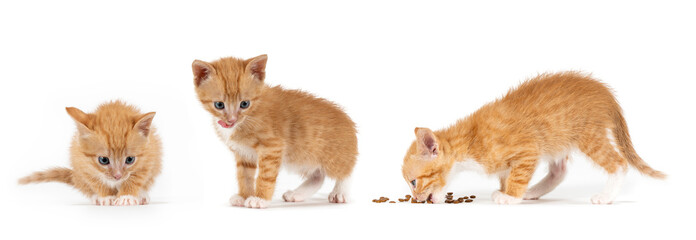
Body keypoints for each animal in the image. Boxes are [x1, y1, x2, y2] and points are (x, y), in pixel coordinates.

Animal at [18, 100, 162, 205]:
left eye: (130, 159)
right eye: (103, 160)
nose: (118, 176)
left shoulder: (149, 157)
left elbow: (136, 179)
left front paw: (126, 196)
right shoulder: (82, 164)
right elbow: (96, 182)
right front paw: (106, 197)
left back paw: (142, 195)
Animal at [192, 54, 358, 208]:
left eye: (244, 104)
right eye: (219, 105)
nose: (231, 120)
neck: (249, 116)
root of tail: (348, 119)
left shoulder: (272, 147)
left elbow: (265, 176)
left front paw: (260, 199)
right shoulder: (243, 153)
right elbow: (244, 176)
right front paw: (243, 196)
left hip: (331, 156)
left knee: (346, 170)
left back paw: (340, 192)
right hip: (300, 158)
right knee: (318, 176)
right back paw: (297, 194)